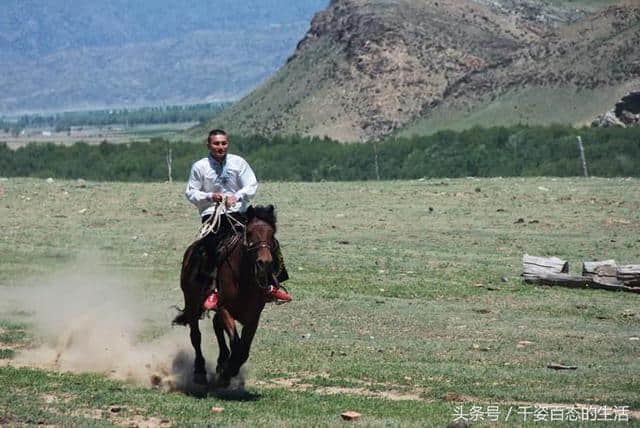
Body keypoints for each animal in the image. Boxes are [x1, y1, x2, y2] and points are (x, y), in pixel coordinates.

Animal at [172, 206, 278, 386]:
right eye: (249, 233)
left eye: (271, 234)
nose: (264, 263)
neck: (243, 280)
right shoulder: (225, 309)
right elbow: (236, 343)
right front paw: (227, 372)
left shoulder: (253, 317)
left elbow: (243, 349)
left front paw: (226, 370)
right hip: (192, 301)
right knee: (196, 336)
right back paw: (200, 371)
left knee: (216, 325)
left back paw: (221, 362)